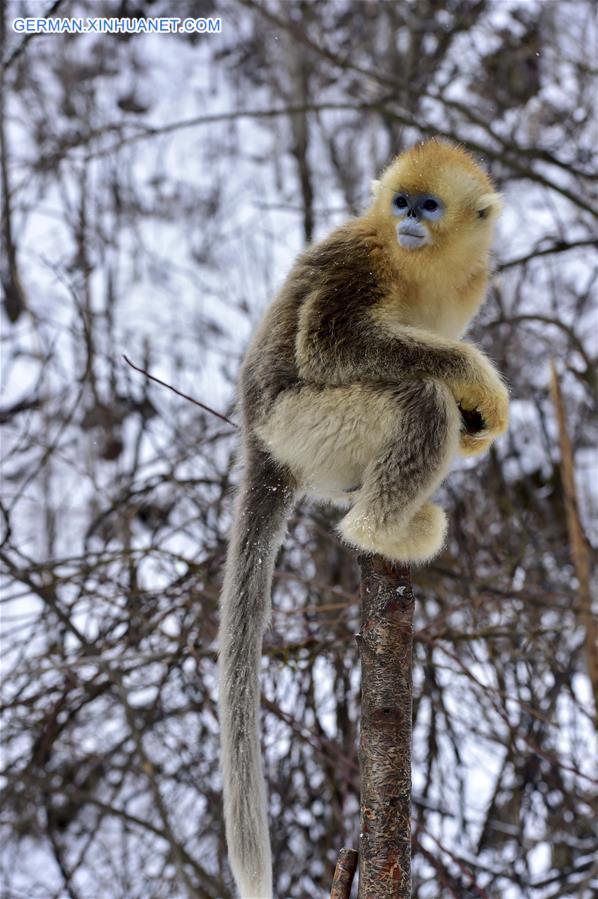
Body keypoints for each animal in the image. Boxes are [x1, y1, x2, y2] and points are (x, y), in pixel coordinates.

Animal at [220, 141, 510, 899]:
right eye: (400, 203)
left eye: (428, 206)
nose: (407, 220)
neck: (418, 263)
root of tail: (259, 442)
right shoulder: (361, 263)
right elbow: (329, 344)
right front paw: (479, 381)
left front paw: (480, 427)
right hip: (308, 426)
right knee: (420, 397)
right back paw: (382, 530)